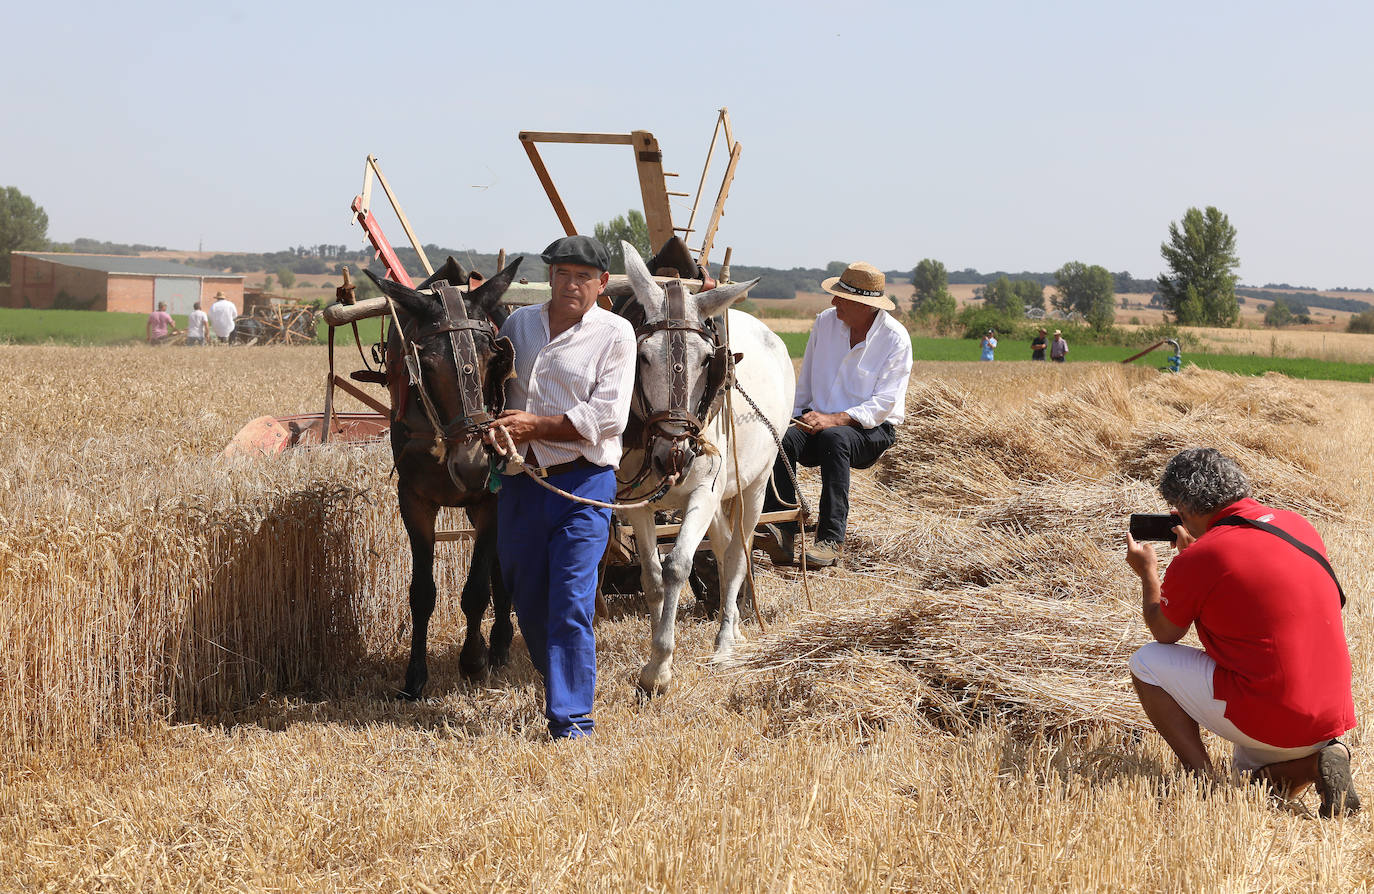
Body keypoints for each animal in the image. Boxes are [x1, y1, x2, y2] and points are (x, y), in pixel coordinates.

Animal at [615, 241, 796, 694]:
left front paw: (660, 668)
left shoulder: (703, 492)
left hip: (753, 486)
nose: (674, 455)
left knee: (736, 555)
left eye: (706, 361)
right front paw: (655, 656)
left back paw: (726, 641)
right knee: (723, 546)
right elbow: (652, 575)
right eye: (643, 357)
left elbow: (678, 565)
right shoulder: (636, 502)